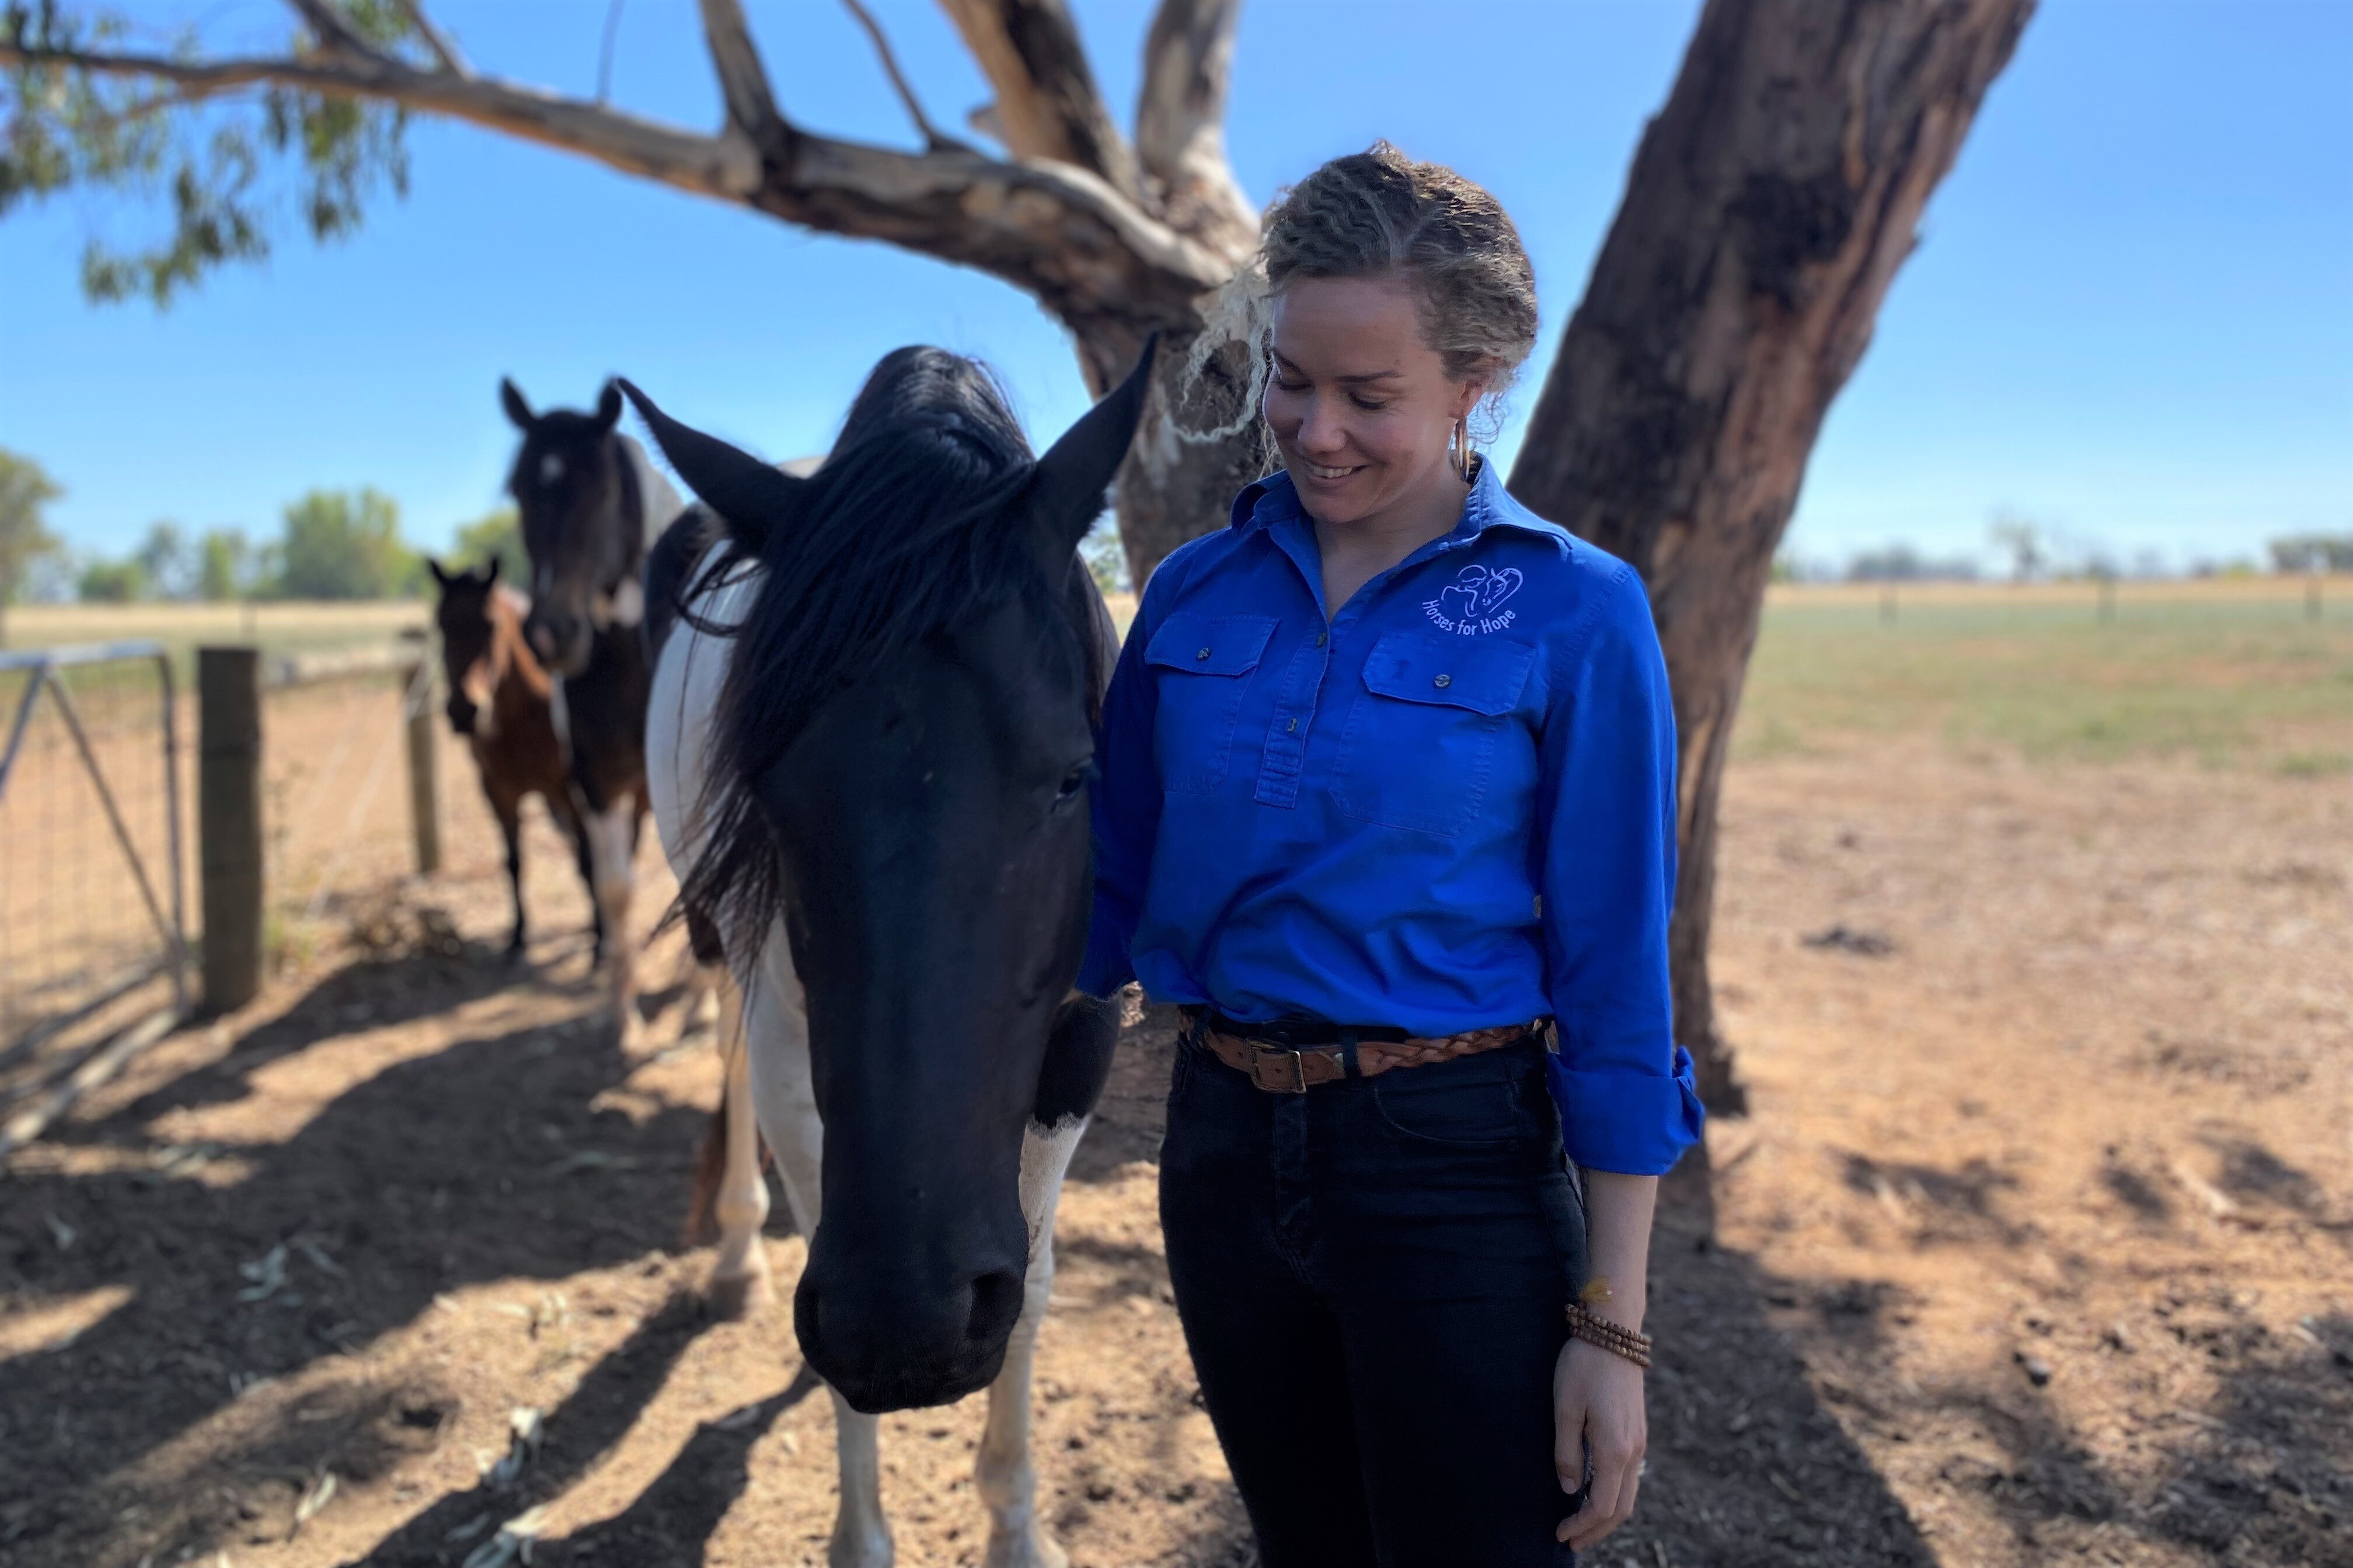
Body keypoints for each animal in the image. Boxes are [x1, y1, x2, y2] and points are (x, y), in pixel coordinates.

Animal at [424, 556, 599, 959]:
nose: (464, 712)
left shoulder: (572, 791)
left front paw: (601, 940)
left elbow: (588, 859)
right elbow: (514, 862)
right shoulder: (498, 792)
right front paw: (518, 936)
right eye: (441, 624)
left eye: (491, 625)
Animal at [498, 378, 687, 1043]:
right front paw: (622, 1017)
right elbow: (614, 889)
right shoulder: (597, 783)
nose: (550, 633)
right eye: (519, 489)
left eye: (601, 489)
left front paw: (702, 1006)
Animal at [625, 339, 1154, 1568]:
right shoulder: (791, 1051)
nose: (907, 1326)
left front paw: (1019, 1530)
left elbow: (1038, 1281)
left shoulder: (1082, 1043)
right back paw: (737, 1251)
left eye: (1077, 776)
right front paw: (862, 1534)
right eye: (768, 785)